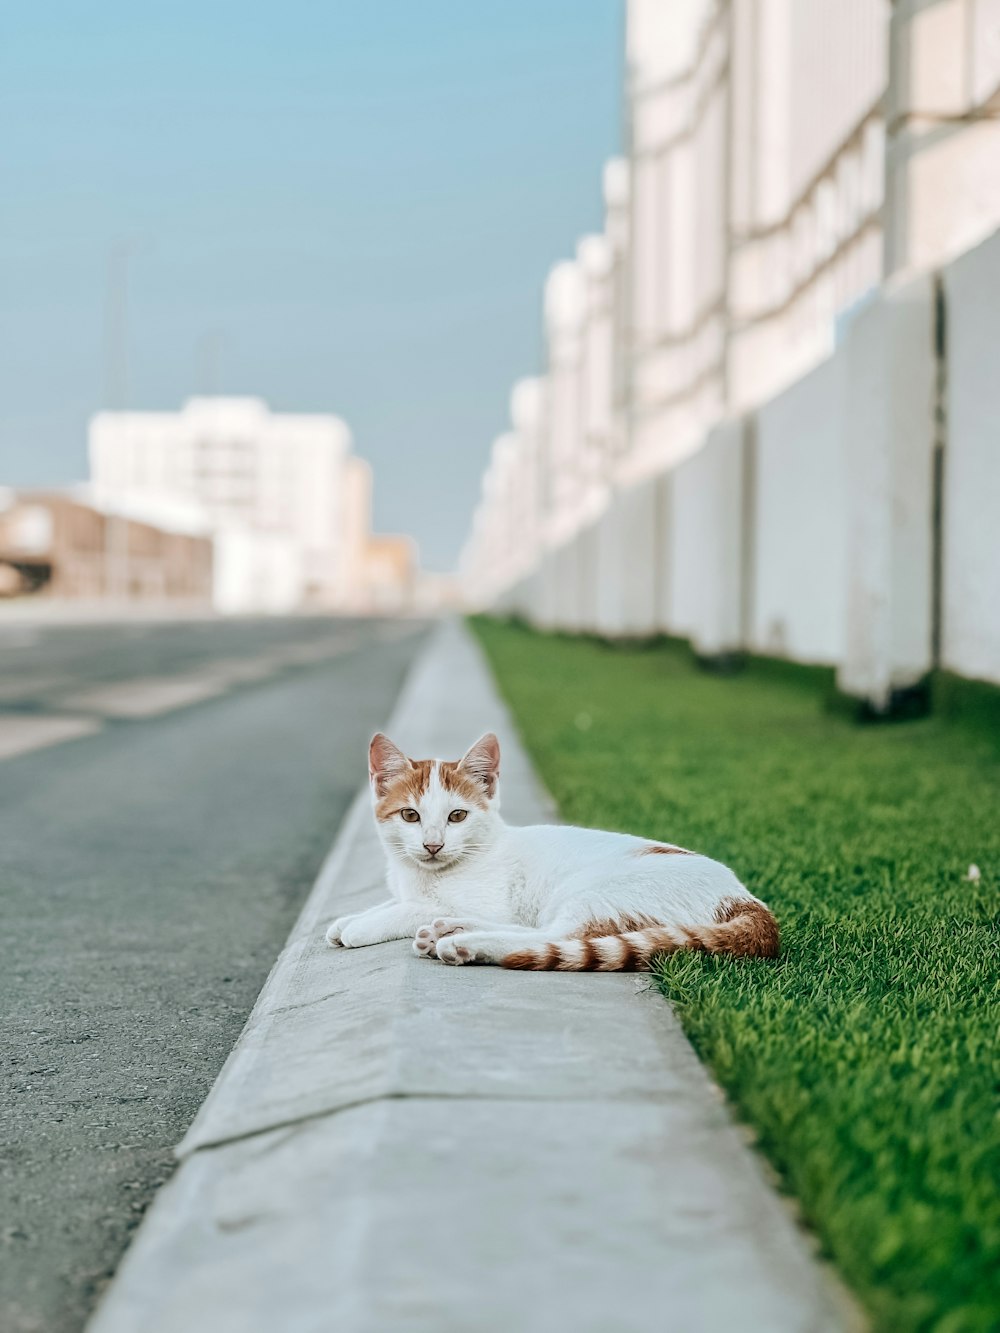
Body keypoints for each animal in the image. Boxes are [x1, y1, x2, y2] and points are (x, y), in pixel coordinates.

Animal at [325, 730, 778, 970]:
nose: (432, 845)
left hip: (595, 890)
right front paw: (348, 918)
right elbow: (395, 902)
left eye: (457, 816)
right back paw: (450, 930)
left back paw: (463, 942)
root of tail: (748, 900)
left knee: (555, 936)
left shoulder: (487, 901)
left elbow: (410, 908)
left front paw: (361, 927)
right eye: (410, 816)